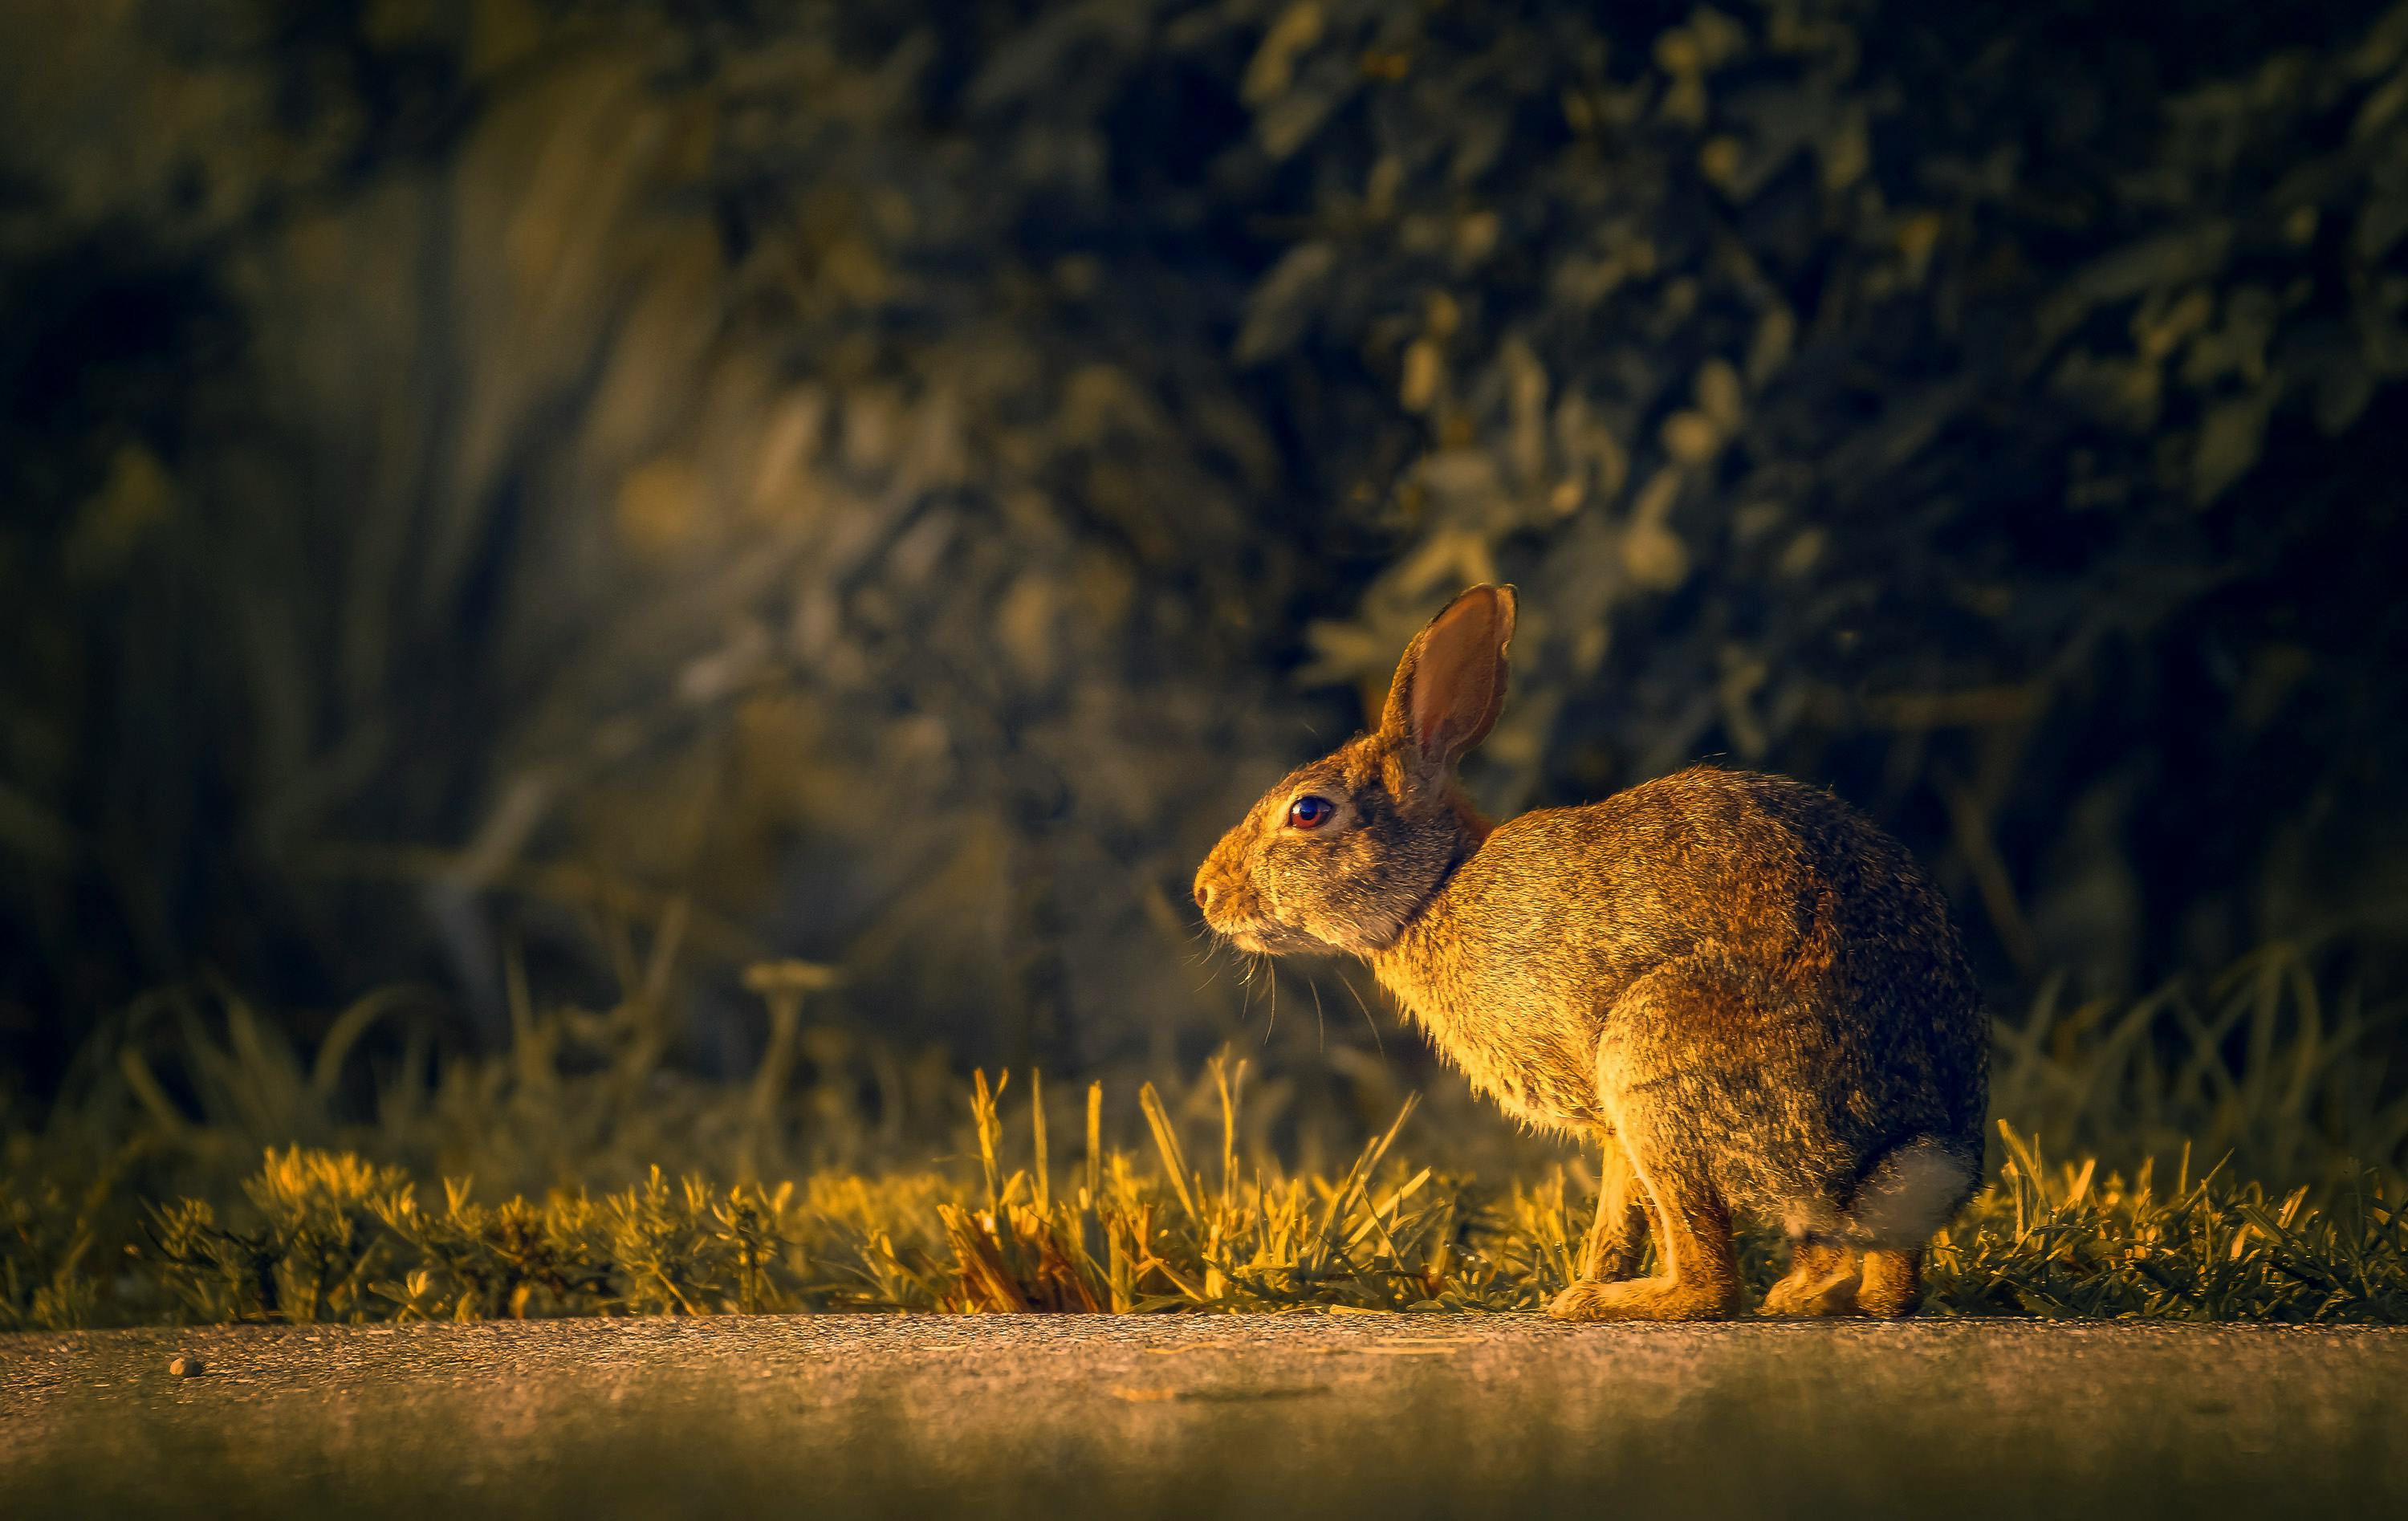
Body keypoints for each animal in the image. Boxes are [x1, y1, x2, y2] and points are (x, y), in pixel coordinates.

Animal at [1194, 584, 1984, 1319]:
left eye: (1308, 811)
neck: (1434, 888)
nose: (1206, 891)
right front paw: (1588, 1275)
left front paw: (1584, 1285)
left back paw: (1618, 1303)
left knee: (1713, 1282)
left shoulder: (1608, 1100)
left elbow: (1625, 1210)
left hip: (1655, 1055)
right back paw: (1809, 1296)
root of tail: (1901, 1147)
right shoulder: (1612, 1126)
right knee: (1878, 1275)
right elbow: (1621, 1210)